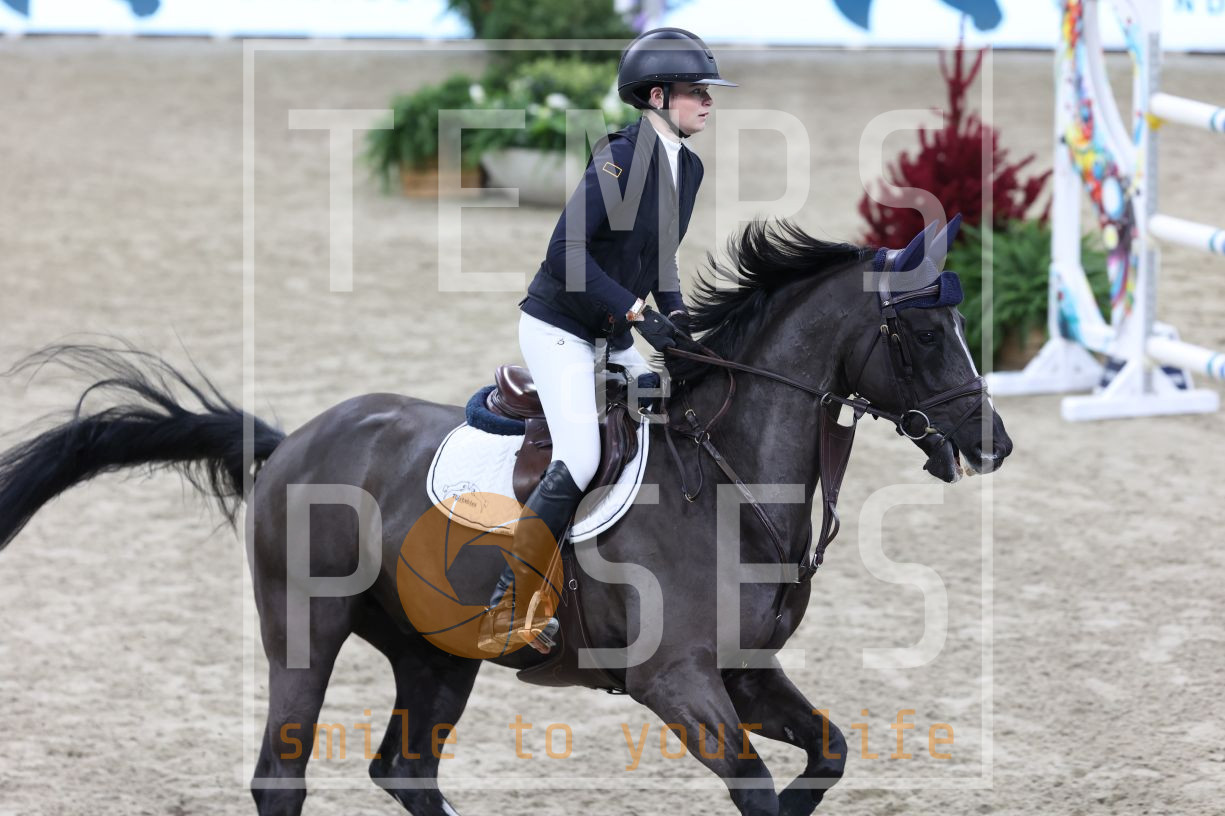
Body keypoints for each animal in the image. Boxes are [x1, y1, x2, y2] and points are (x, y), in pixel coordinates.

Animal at [0, 217, 1011, 816]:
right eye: (927, 333)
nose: (992, 442)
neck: (724, 487)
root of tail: (294, 441)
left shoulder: (745, 672)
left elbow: (825, 754)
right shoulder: (676, 682)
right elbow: (758, 787)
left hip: (436, 655)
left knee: (404, 770)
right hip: (304, 629)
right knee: (282, 774)